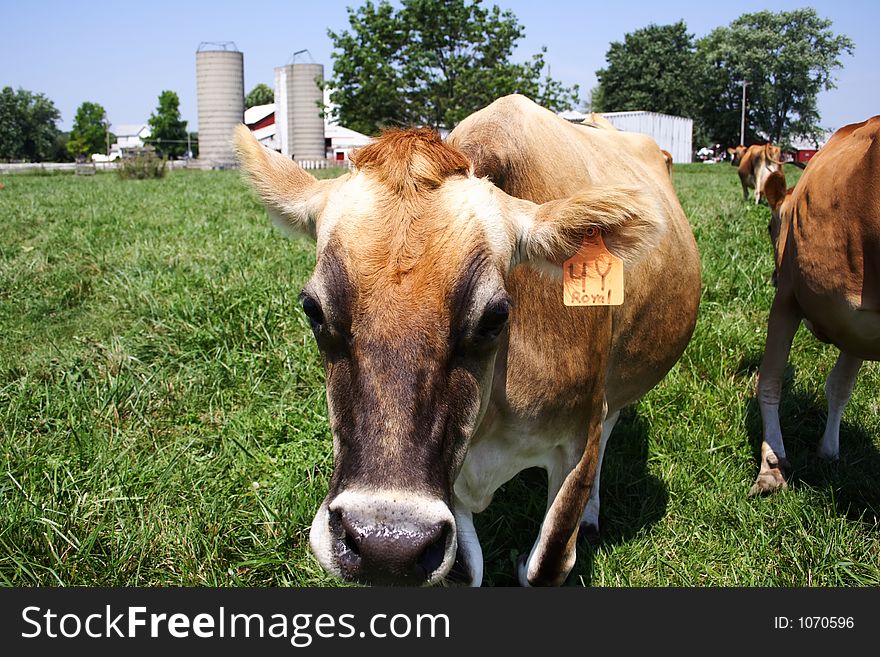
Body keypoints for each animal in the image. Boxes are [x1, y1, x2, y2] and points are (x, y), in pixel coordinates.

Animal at [234, 92, 700, 584]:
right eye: (313, 309)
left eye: (495, 315)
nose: (385, 545)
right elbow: (461, 570)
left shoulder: (579, 436)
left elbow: (547, 562)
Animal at [748, 119, 880, 498]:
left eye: (770, 227)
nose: (773, 276)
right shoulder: (859, 326)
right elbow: (836, 386)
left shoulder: (790, 297)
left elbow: (772, 381)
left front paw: (773, 464)